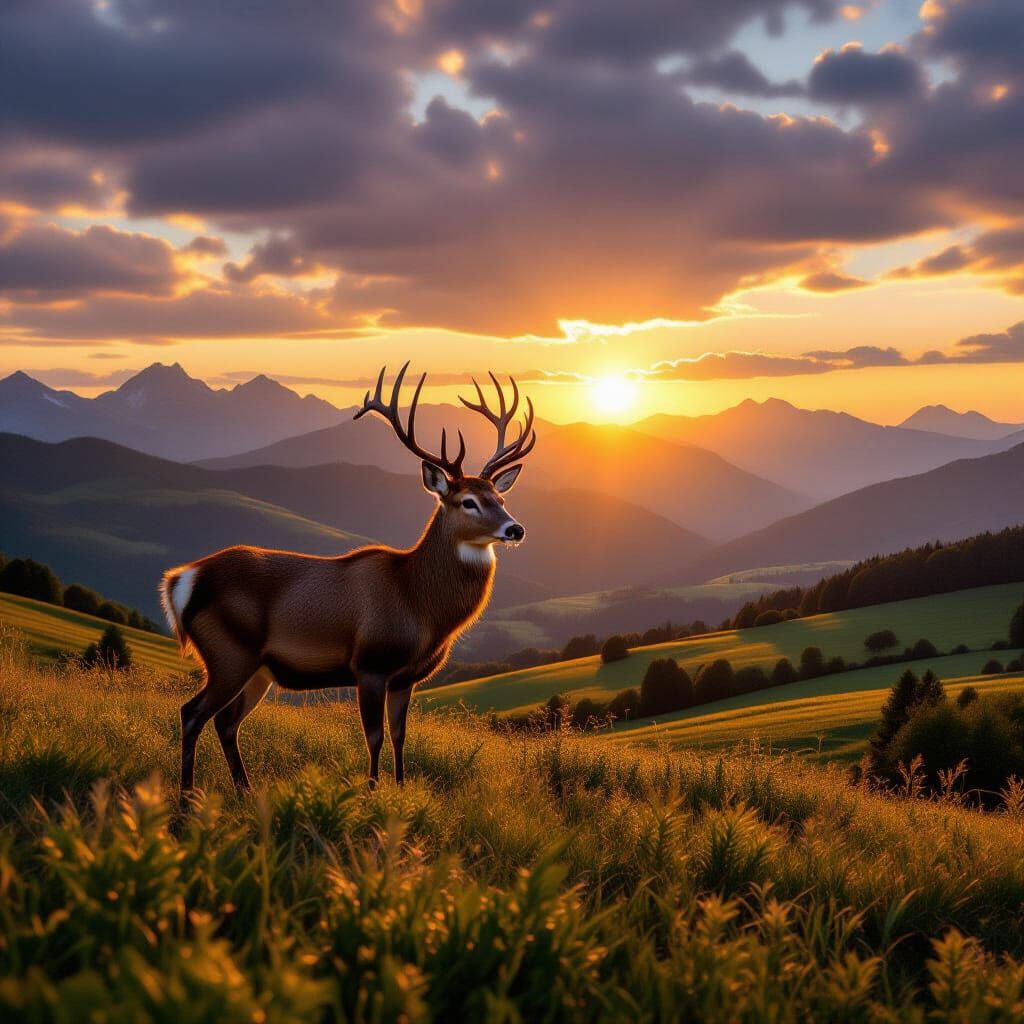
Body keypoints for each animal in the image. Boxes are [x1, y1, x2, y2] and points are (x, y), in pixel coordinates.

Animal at [160, 363, 535, 795]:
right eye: (467, 502)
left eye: (500, 498)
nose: (515, 529)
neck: (417, 604)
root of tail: (183, 579)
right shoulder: (370, 662)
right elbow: (373, 736)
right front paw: (371, 791)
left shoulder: (405, 677)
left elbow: (400, 735)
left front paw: (401, 790)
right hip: (228, 652)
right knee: (192, 712)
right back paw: (187, 796)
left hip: (257, 669)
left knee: (225, 721)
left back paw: (244, 790)